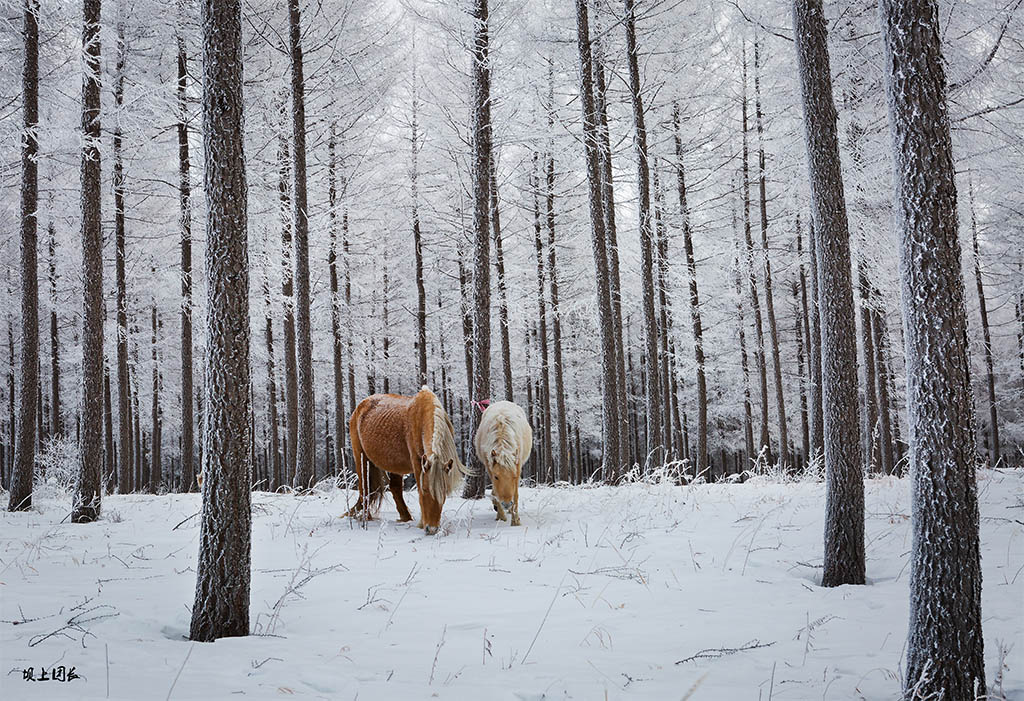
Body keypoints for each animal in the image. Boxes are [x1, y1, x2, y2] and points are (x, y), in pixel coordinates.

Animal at [348, 384, 468, 532]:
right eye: (426, 489)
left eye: (444, 492)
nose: (431, 528)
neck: (422, 416)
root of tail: (359, 407)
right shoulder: (418, 462)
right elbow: (419, 493)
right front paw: (422, 523)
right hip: (361, 457)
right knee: (364, 486)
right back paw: (366, 517)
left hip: (393, 464)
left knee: (394, 488)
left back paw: (405, 517)